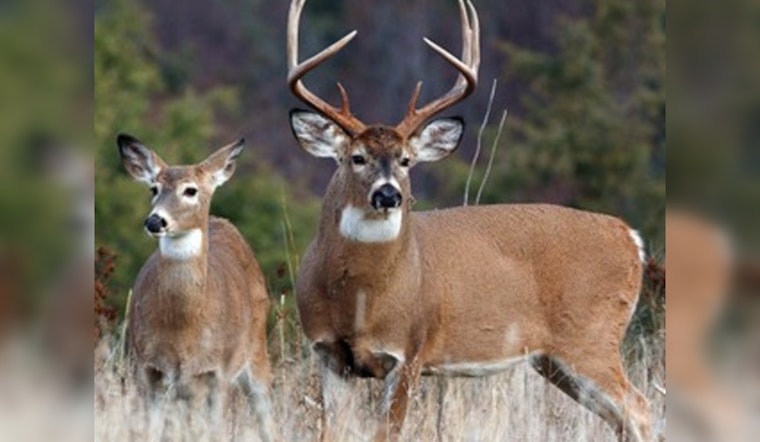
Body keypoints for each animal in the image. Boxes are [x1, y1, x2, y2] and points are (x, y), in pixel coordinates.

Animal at [117, 134, 275, 441]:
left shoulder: (219, 372)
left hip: (257, 351)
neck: (184, 330)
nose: (155, 221)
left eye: (190, 190)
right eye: (154, 188)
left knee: (266, 415)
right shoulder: (150, 371)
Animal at [286, 0, 652, 440]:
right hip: (554, 360)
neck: (358, 300)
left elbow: (386, 432)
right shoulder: (327, 353)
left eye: (406, 160)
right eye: (356, 158)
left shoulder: (409, 349)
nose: (389, 194)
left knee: (640, 408)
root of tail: (630, 236)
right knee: (623, 416)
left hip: (591, 336)